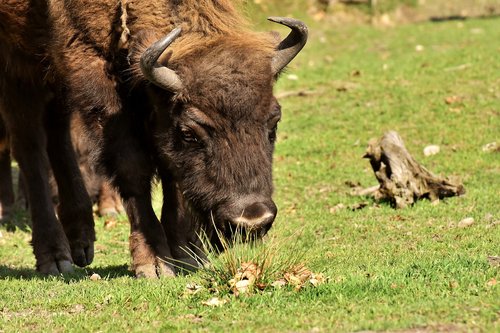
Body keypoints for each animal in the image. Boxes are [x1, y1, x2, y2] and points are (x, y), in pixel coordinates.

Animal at [0, 0, 306, 278]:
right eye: (189, 133)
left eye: (274, 122)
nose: (252, 220)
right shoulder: (95, 73)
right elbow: (132, 168)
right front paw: (154, 262)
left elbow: (172, 172)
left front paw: (187, 254)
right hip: (19, 69)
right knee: (30, 148)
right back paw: (54, 258)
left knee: (56, 136)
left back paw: (81, 240)